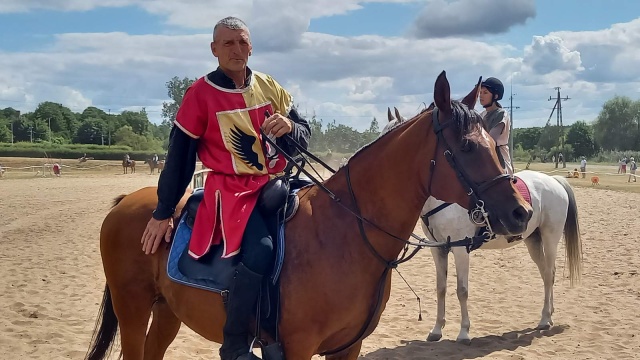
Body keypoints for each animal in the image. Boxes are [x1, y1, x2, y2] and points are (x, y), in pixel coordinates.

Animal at [87, 71, 532, 360]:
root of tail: (127, 202)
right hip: (133, 309)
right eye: (468, 147)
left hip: (166, 311)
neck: (346, 233)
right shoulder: (298, 348)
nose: (520, 212)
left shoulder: (348, 348)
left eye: (495, 142)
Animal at [382, 108, 584, 344]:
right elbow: (441, 287)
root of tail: (555, 181)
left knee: (550, 273)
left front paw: (464, 332)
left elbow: (462, 290)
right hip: (533, 240)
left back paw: (545, 319)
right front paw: (437, 329)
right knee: (545, 273)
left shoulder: (461, 249)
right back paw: (548, 316)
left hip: (551, 237)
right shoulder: (439, 250)